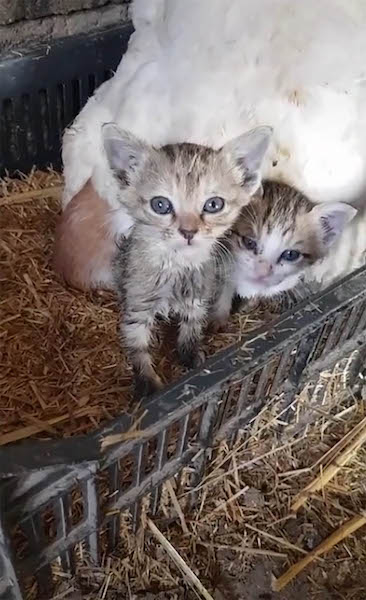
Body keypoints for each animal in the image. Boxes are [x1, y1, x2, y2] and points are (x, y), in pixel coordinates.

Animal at [103, 122, 272, 396]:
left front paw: (191, 355)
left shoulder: (198, 297)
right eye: (160, 205)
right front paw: (147, 382)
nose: (189, 232)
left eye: (214, 204)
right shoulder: (137, 305)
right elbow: (137, 344)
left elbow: (192, 327)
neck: (177, 265)